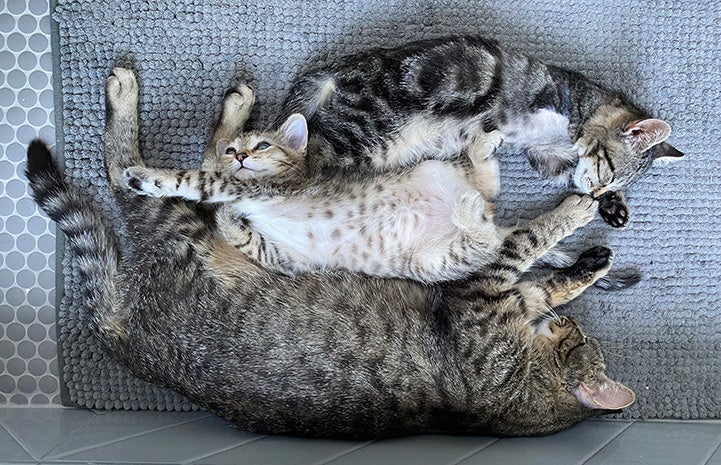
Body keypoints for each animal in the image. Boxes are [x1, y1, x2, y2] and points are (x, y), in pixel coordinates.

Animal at [25, 66, 636, 438]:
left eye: (576, 337)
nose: (245, 154)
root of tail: (123, 336)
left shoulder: (483, 295)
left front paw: (586, 243)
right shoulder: (491, 299)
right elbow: (541, 278)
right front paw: (589, 260)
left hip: (186, 232)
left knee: (128, 174)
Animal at [272, 35, 684, 227]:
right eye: (609, 171)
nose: (600, 192)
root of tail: (330, 74)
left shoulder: (546, 157)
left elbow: (569, 172)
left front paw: (613, 205)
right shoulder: (541, 100)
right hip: (360, 135)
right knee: (307, 158)